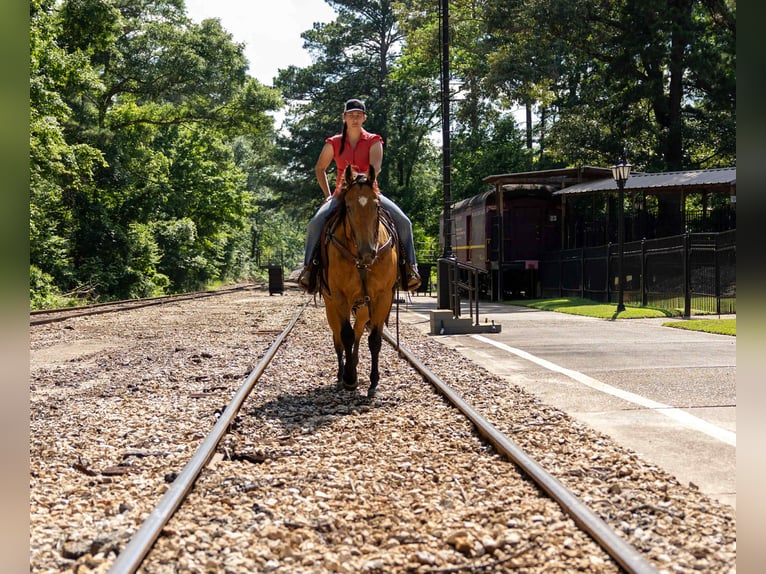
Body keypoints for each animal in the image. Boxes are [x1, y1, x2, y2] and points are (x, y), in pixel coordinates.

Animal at [320, 165, 399, 398]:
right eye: (348, 206)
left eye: (376, 205)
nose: (367, 253)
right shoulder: (340, 297)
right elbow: (345, 335)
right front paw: (349, 378)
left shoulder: (382, 297)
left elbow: (374, 340)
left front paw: (373, 382)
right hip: (331, 305)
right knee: (338, 337)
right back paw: (343, 373)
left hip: (364, 306)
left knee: (357, 332)